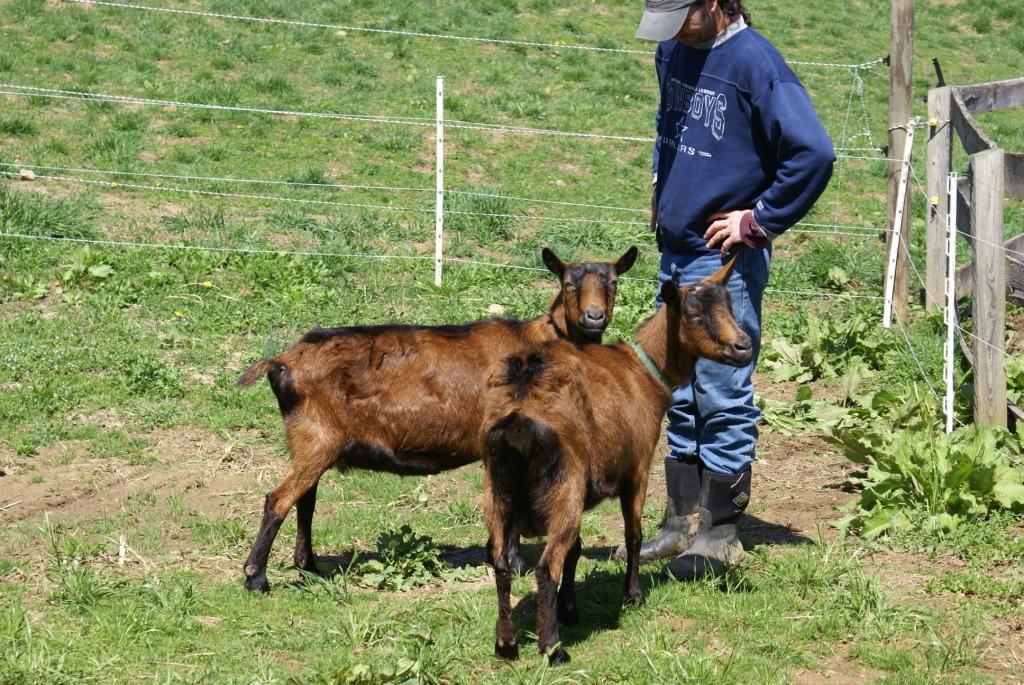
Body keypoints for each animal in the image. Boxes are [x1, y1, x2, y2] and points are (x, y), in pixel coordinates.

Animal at [236, 246, 638, 592]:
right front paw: (512, 563)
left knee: (305, 499)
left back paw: (308, 566)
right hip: (316, 436)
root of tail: (281, 362)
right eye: (569, 283)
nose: (594, 318)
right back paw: (257, 576)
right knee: (278, 500)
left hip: (312, 440)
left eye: (612, 283)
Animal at [481, 256, 752, 664]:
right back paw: (553, 648)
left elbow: (576, 551)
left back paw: (507, 645)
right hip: (563, 488)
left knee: (501, 565)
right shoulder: (636, 470)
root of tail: (519, 418)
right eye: (692, 314)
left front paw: (570, 608)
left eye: (730, 306)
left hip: (499, 490)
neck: (641, 372)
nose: (743, 346)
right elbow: (633, 535)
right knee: (545, 568)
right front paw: (633, 595)